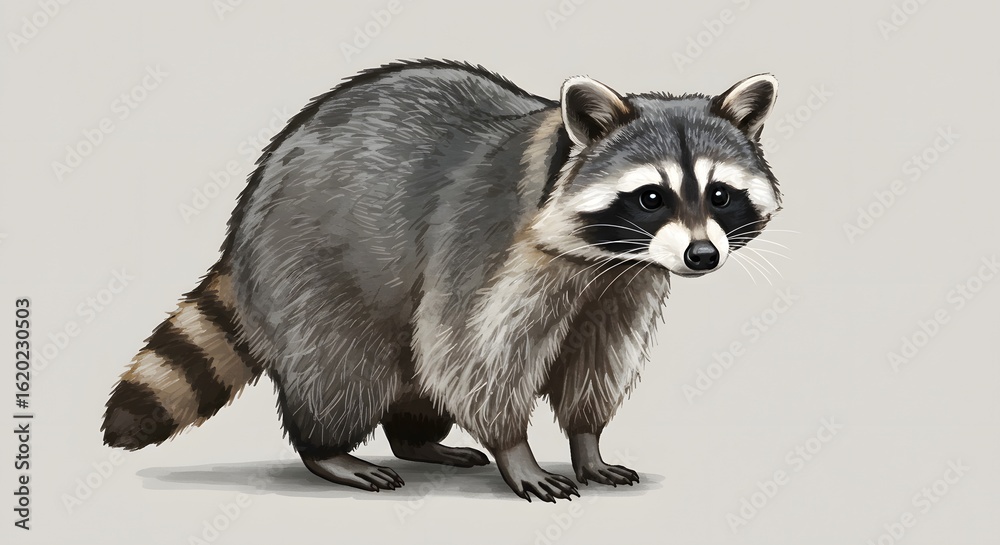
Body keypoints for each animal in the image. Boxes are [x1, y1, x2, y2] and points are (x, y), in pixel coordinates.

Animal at [102, 60, 781, 502]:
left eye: (720, 195)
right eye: (651, 196)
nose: (701, 256)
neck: (603, 257)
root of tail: (241, 229)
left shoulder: (621, 288)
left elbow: (597, 360)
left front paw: (587, 440)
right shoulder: (487, 247)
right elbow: (470, 354)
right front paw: (517, 449)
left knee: (412, 375)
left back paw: (416, 440)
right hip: (307, 269)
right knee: (343, 366)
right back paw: (326, 449)